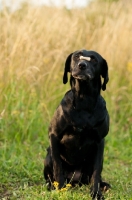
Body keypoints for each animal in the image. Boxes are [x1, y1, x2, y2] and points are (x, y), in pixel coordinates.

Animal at [43, 49, 110, 198]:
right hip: (48, 156)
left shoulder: (99, 142)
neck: (83, 100)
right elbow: (57, 166)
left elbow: (96, 172)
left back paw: (104, 185)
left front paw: (96, 193)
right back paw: (53, 186)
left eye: (94, 59)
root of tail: (74, 180)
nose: (82, 65)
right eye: (76, 56)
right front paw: (60, 189)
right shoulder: (54, 135)